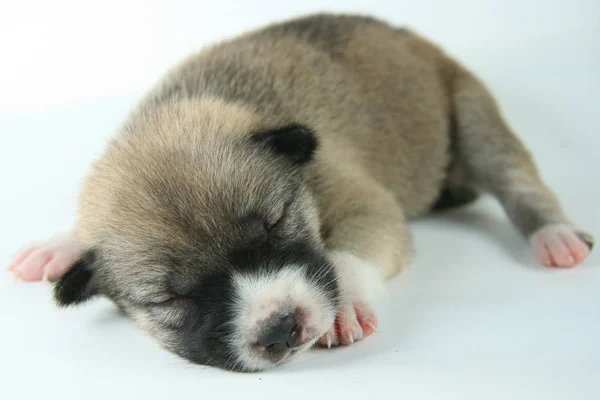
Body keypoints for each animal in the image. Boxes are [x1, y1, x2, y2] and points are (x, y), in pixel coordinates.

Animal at [7, 13, 592, 372]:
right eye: (172, 299)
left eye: (273, 224)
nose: (281, 327)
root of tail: (410, 35)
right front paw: (61, 243)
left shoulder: (356, 195)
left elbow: (352, 249)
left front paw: (344, 303)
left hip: (472, 113)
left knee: (517, 179)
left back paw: (554, 234)